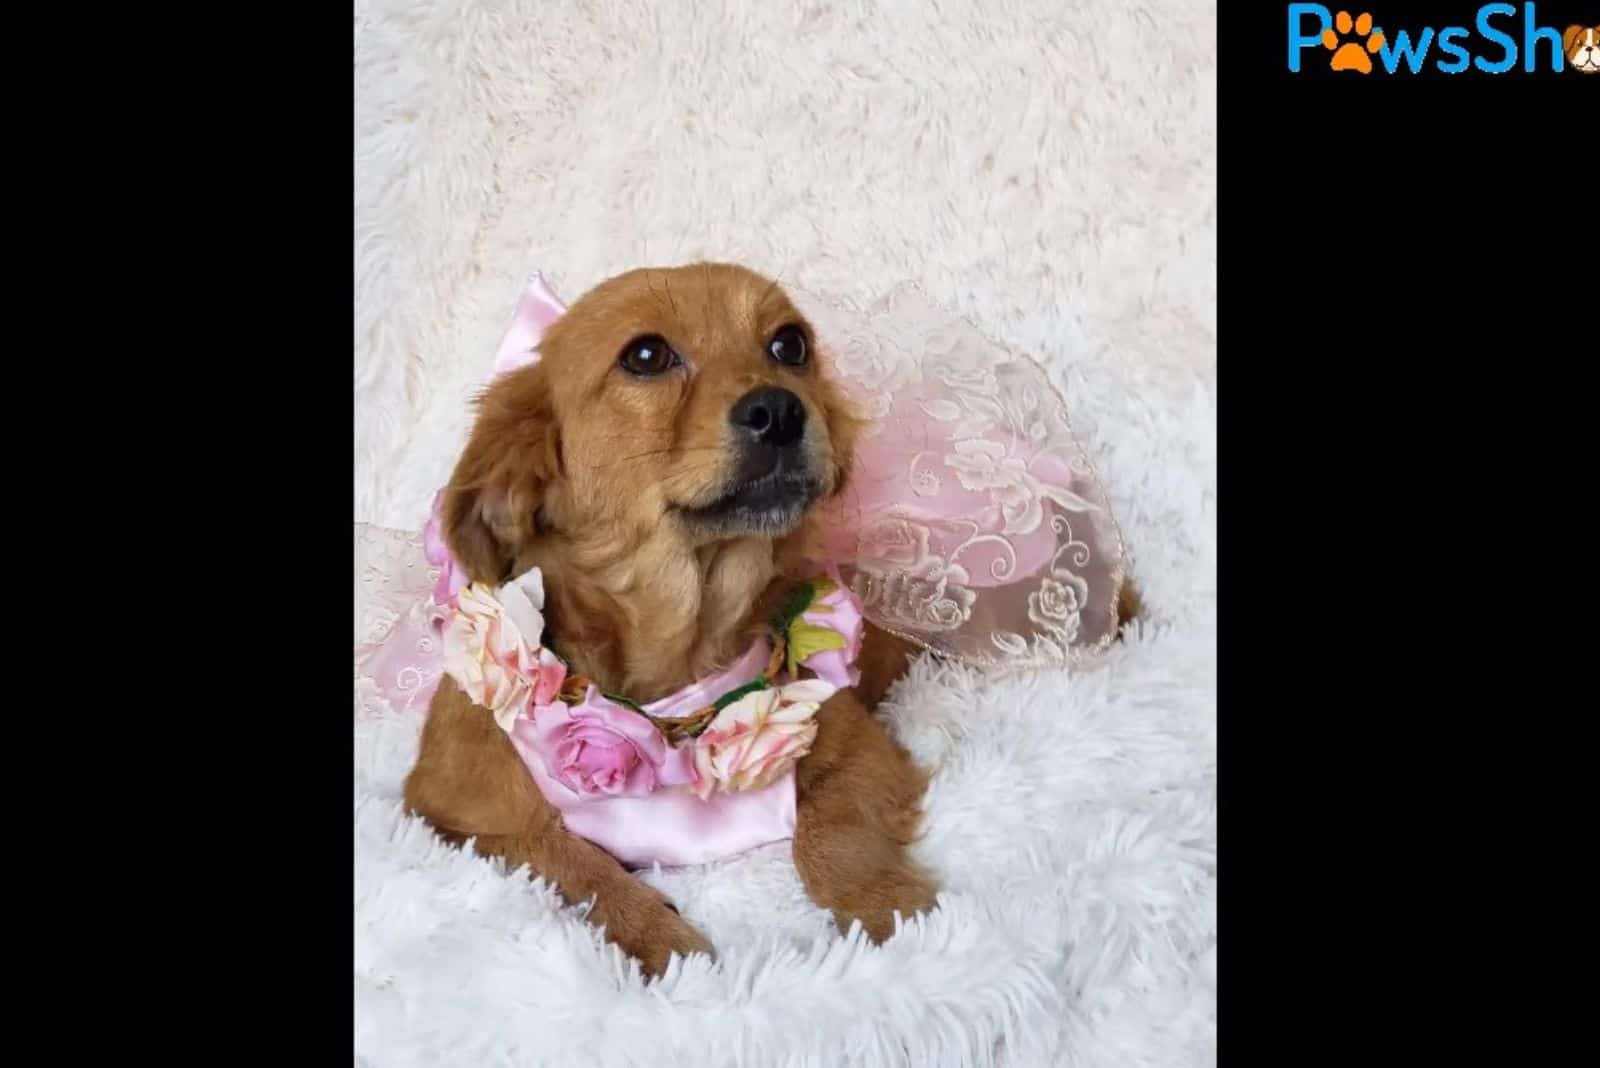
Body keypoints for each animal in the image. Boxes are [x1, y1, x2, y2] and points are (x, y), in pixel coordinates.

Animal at [403, 262, 947, 972]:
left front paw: (888, 908)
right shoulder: (453, 812)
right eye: (646, 356)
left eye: (790, 345)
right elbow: (562, 860)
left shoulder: (858, 742)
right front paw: (654, 935)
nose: (780, 410)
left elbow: (833, 832)